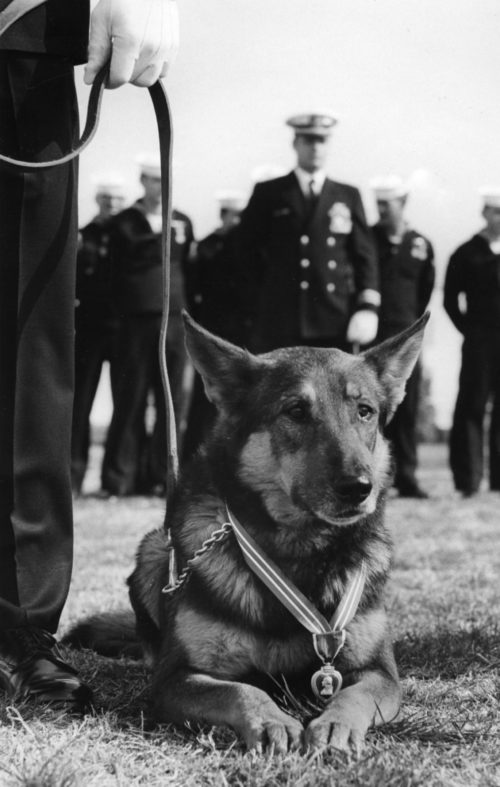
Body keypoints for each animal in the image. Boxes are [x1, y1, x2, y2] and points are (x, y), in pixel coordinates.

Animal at [68, 310, 430, 756]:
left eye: (365, 411)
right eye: (296, 410)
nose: (359, 488)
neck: (298, 552)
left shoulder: (378, 673)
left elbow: (352, 695)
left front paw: (335, 726)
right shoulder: (177, 677)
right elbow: (241, 690)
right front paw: (273, 721)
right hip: (155, 549)